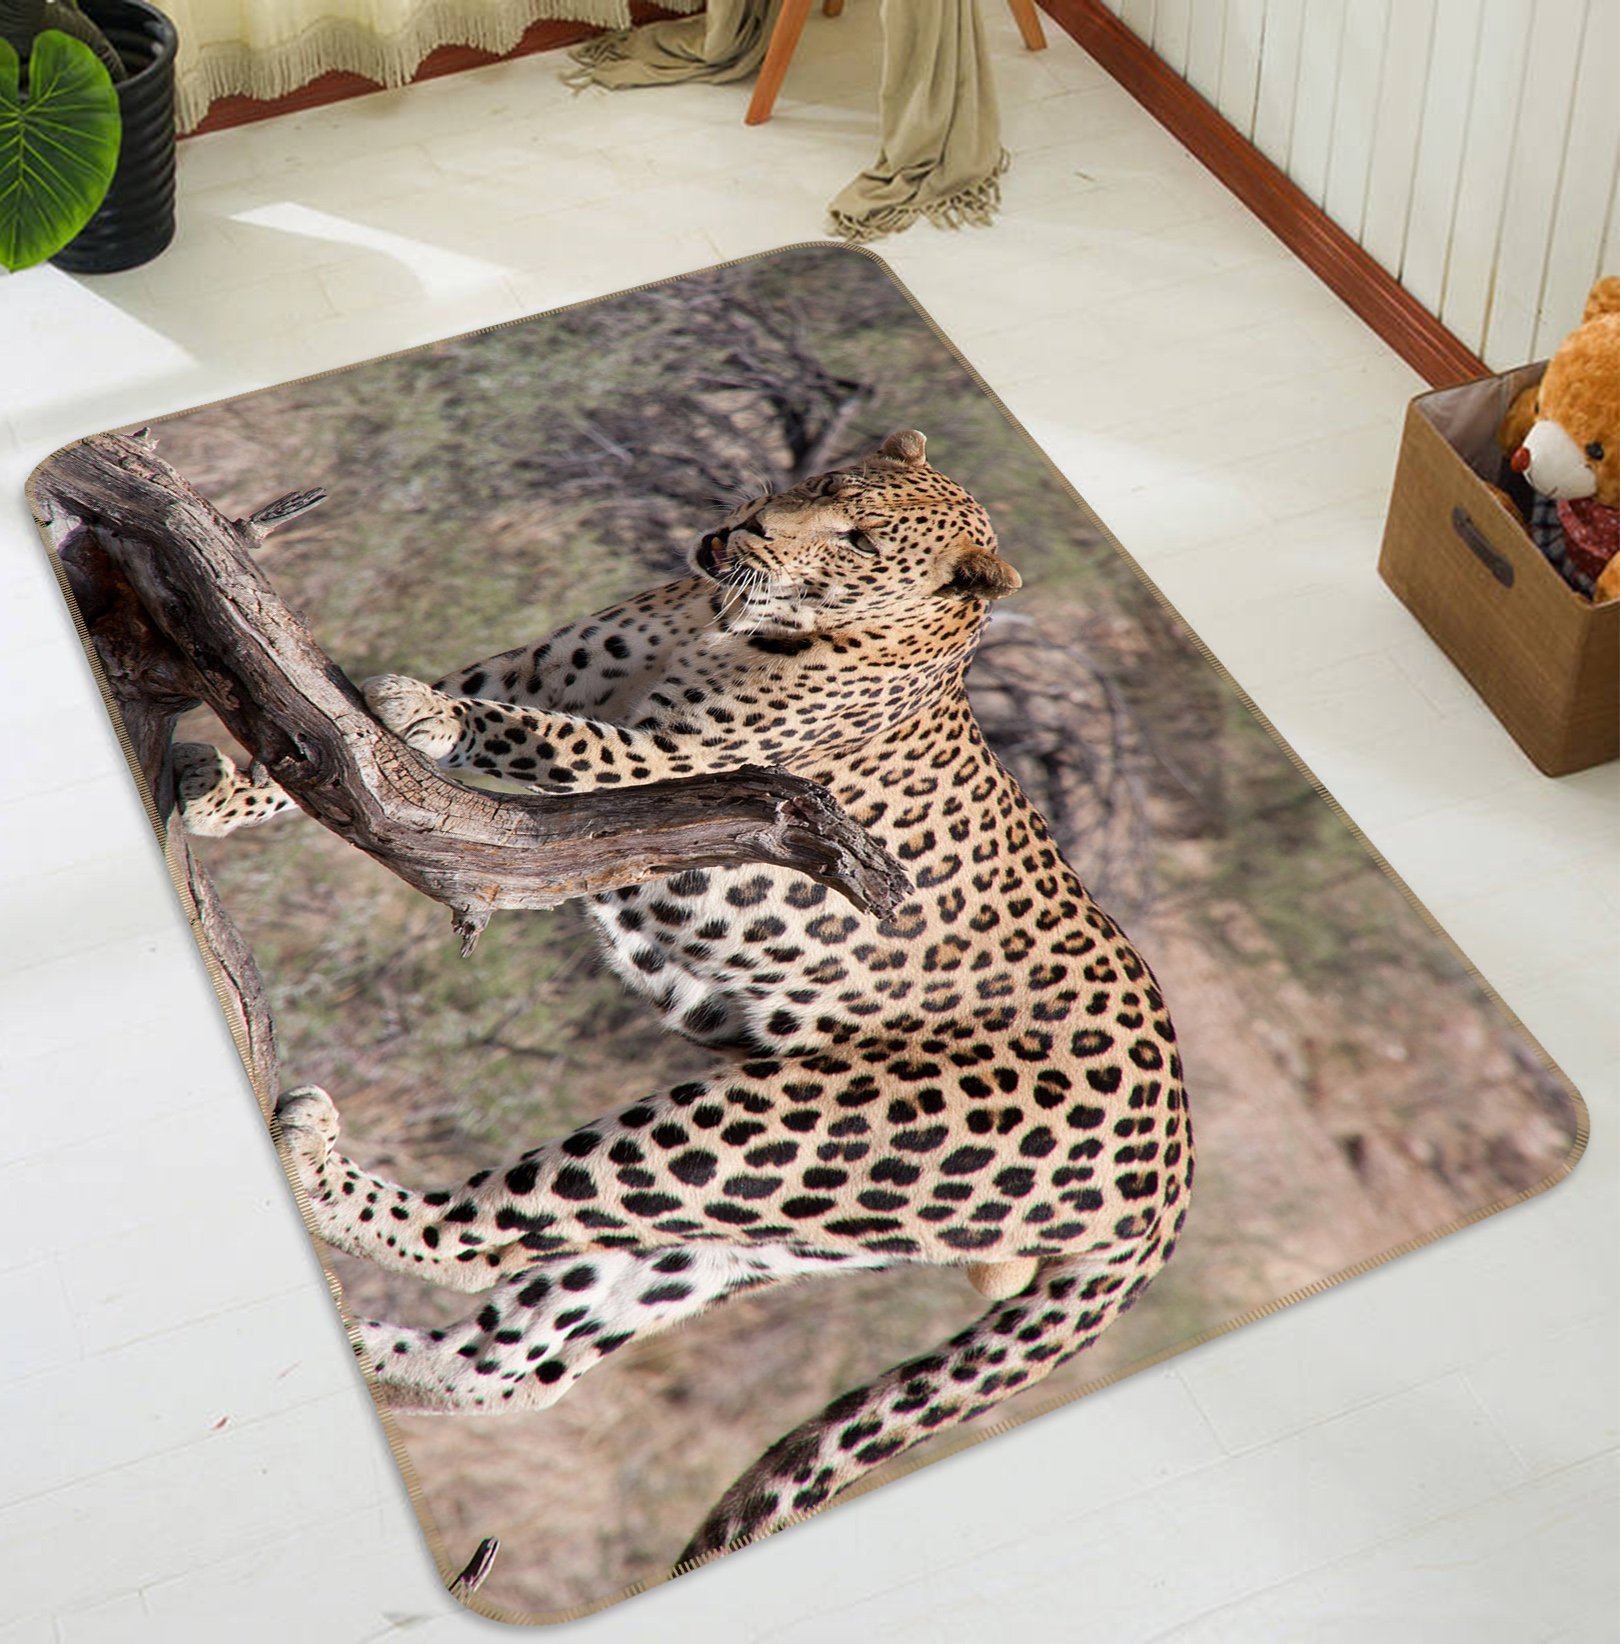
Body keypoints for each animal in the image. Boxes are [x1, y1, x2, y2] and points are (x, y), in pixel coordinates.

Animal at [178, 430, 1193, 1564]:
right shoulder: (542, 667)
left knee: (484, 1240)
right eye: (824, 484)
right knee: (517, 1358)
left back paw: (319, 1173)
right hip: (751, 1224)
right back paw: (366, 1342)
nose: (747, 528)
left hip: (782, 1126)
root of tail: (1174, 1172)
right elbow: (342, 734)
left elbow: (539, 735)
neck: (740, 621)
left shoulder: (705, 772)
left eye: (858, 539)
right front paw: (228, 796)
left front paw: (428, 714)